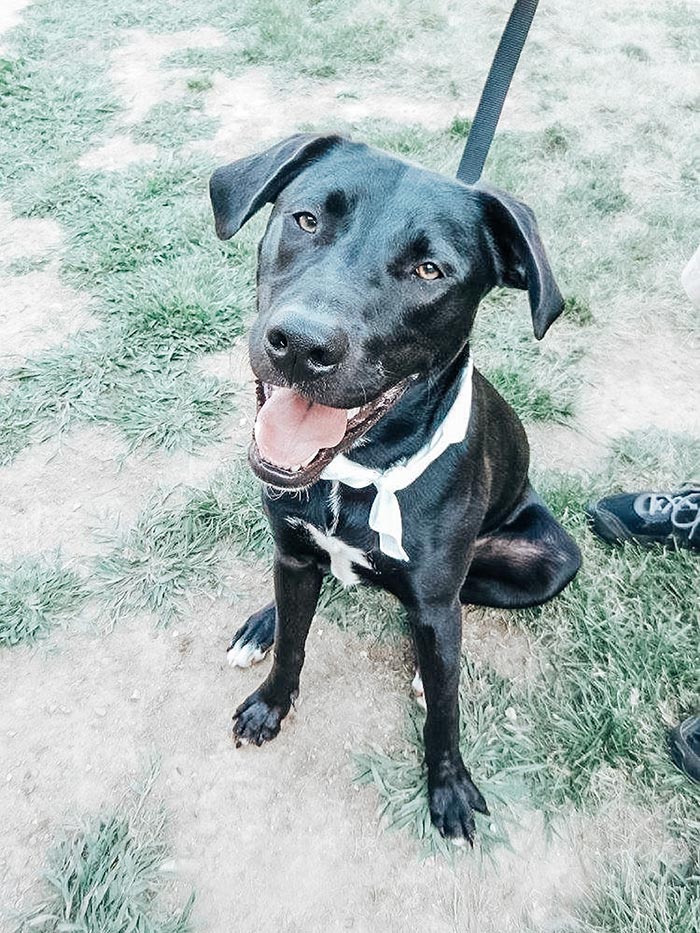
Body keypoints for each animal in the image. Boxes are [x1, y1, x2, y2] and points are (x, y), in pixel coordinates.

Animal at [208, 137, 580, 844]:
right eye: (305, 220)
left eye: (431, 270)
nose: (299, 345)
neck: (355, 474)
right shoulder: (292, 552)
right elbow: (294, 644)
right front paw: (271, 702)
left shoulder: (437, 600)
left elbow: (446, 711)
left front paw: (449, 786)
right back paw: (264, 622)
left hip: (550, 562)